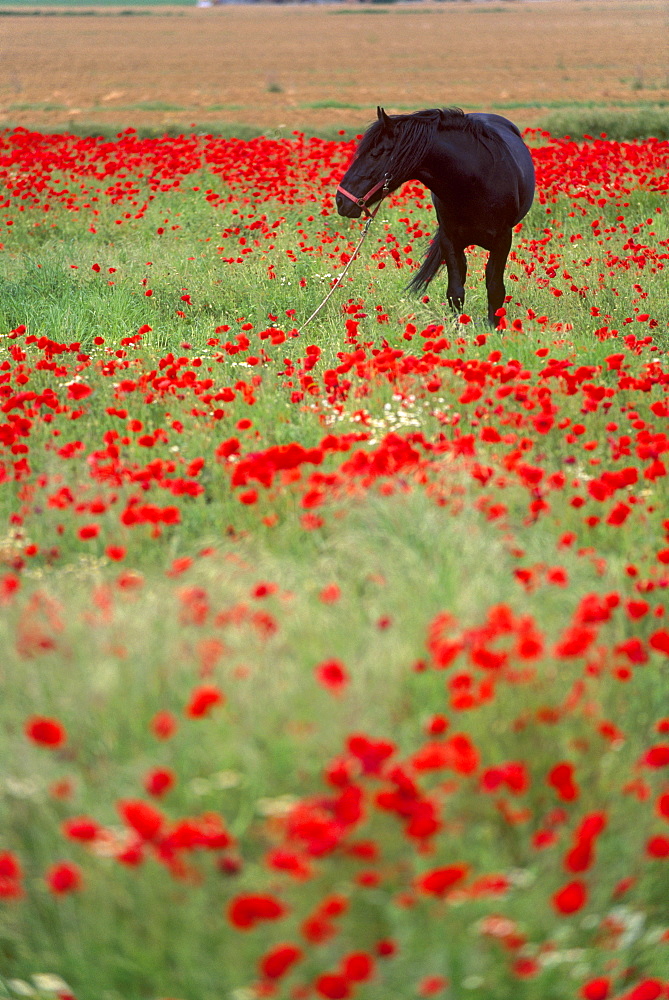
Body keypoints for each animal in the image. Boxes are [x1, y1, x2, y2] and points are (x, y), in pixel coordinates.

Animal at [336, 109, 536, 328]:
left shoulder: (502, 241)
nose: (340, 200)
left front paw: (494, 328)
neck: (476, 181)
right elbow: (455, 293)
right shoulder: (449, 240)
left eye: (375, 154)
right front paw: (458, 327)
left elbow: (495, 289)